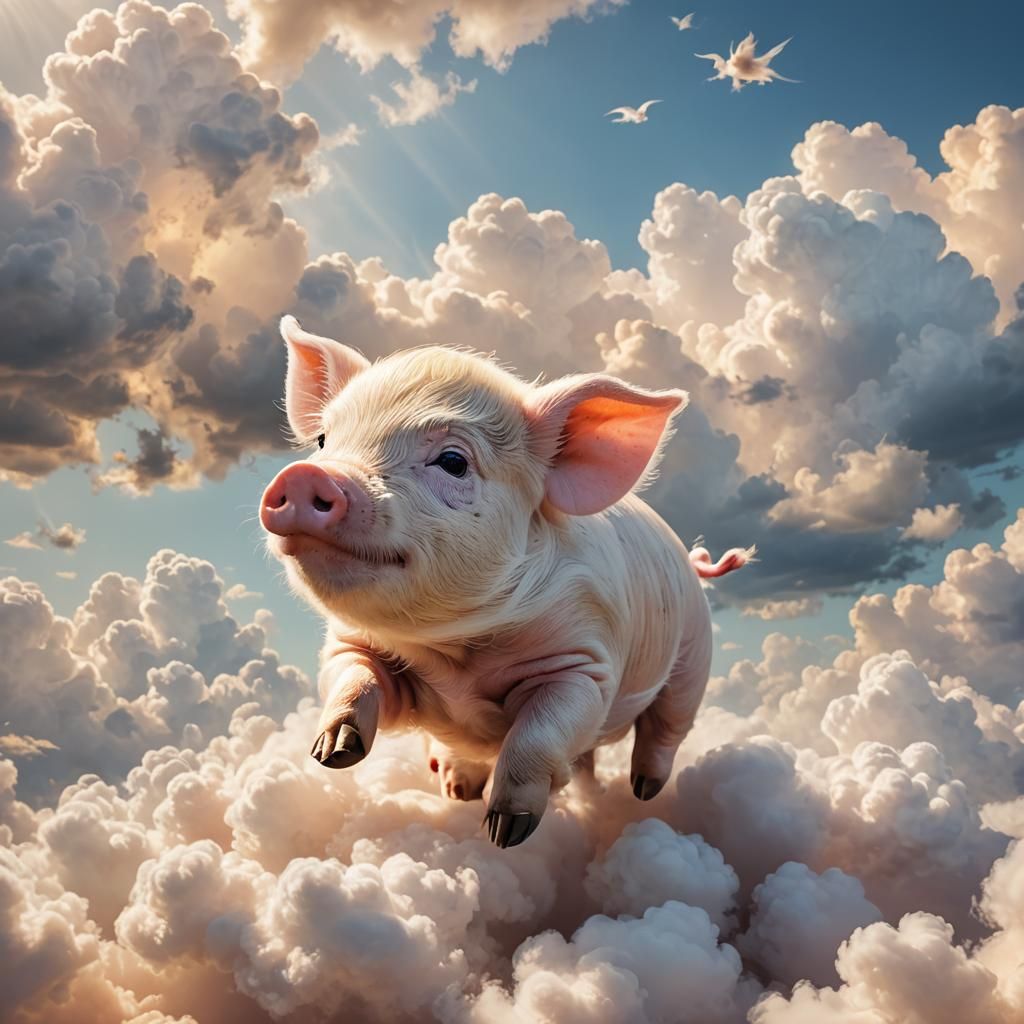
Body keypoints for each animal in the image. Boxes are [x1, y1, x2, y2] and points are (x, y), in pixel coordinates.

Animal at [260, 316, 752, 848]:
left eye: (453, 462)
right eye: (323, 441)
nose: (306, 476)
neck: (454, 655)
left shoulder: (584, 664)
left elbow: (536, 734)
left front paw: (505, 833)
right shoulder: (352, 645)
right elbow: (353, 681)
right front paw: (332, 753)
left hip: (692, 657)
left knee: (665, 728)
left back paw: (643, 791)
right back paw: (457, 787)